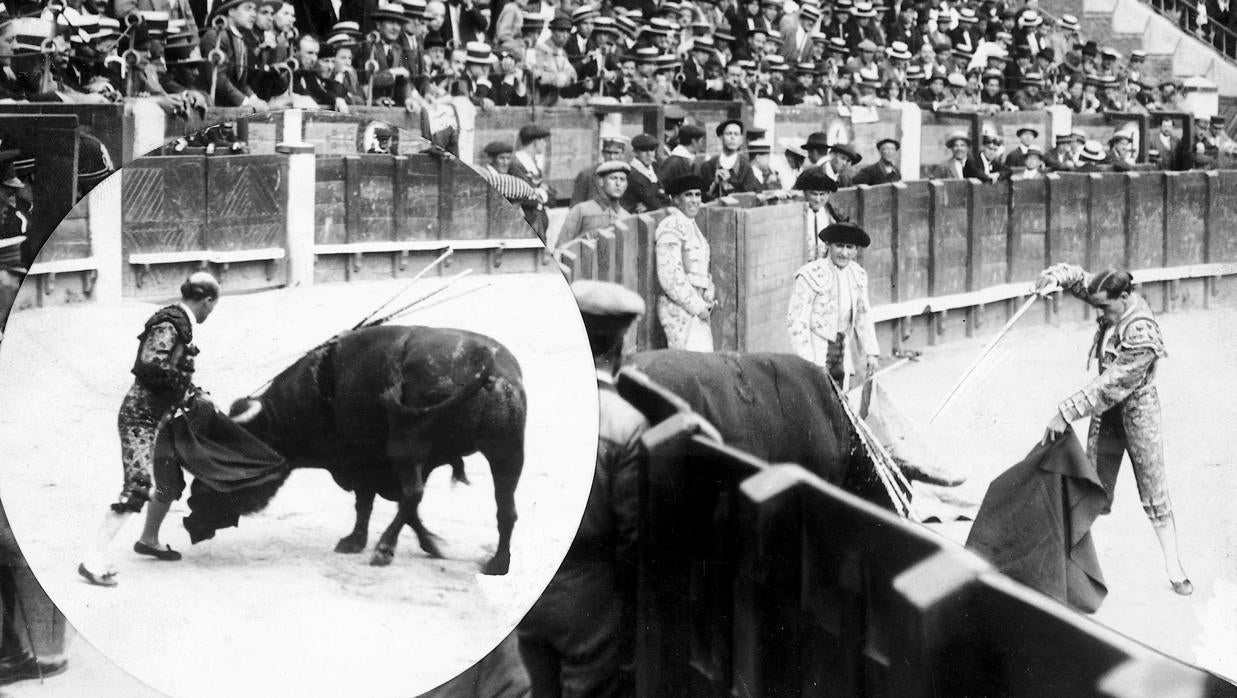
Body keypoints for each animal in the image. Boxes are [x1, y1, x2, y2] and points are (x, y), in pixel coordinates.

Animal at [227, 324, 526, 574]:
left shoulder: (364, 463)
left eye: (250, 444)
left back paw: (383, 550)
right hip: (506, 452)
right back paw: (498, 563)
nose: (240, 505)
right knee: (505, 509)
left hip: (409, 448)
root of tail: (484, 360)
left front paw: (354, 542)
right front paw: (433, 544)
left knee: (415, 494)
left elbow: (368, 503)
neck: (321, 388)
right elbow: (398, 507)